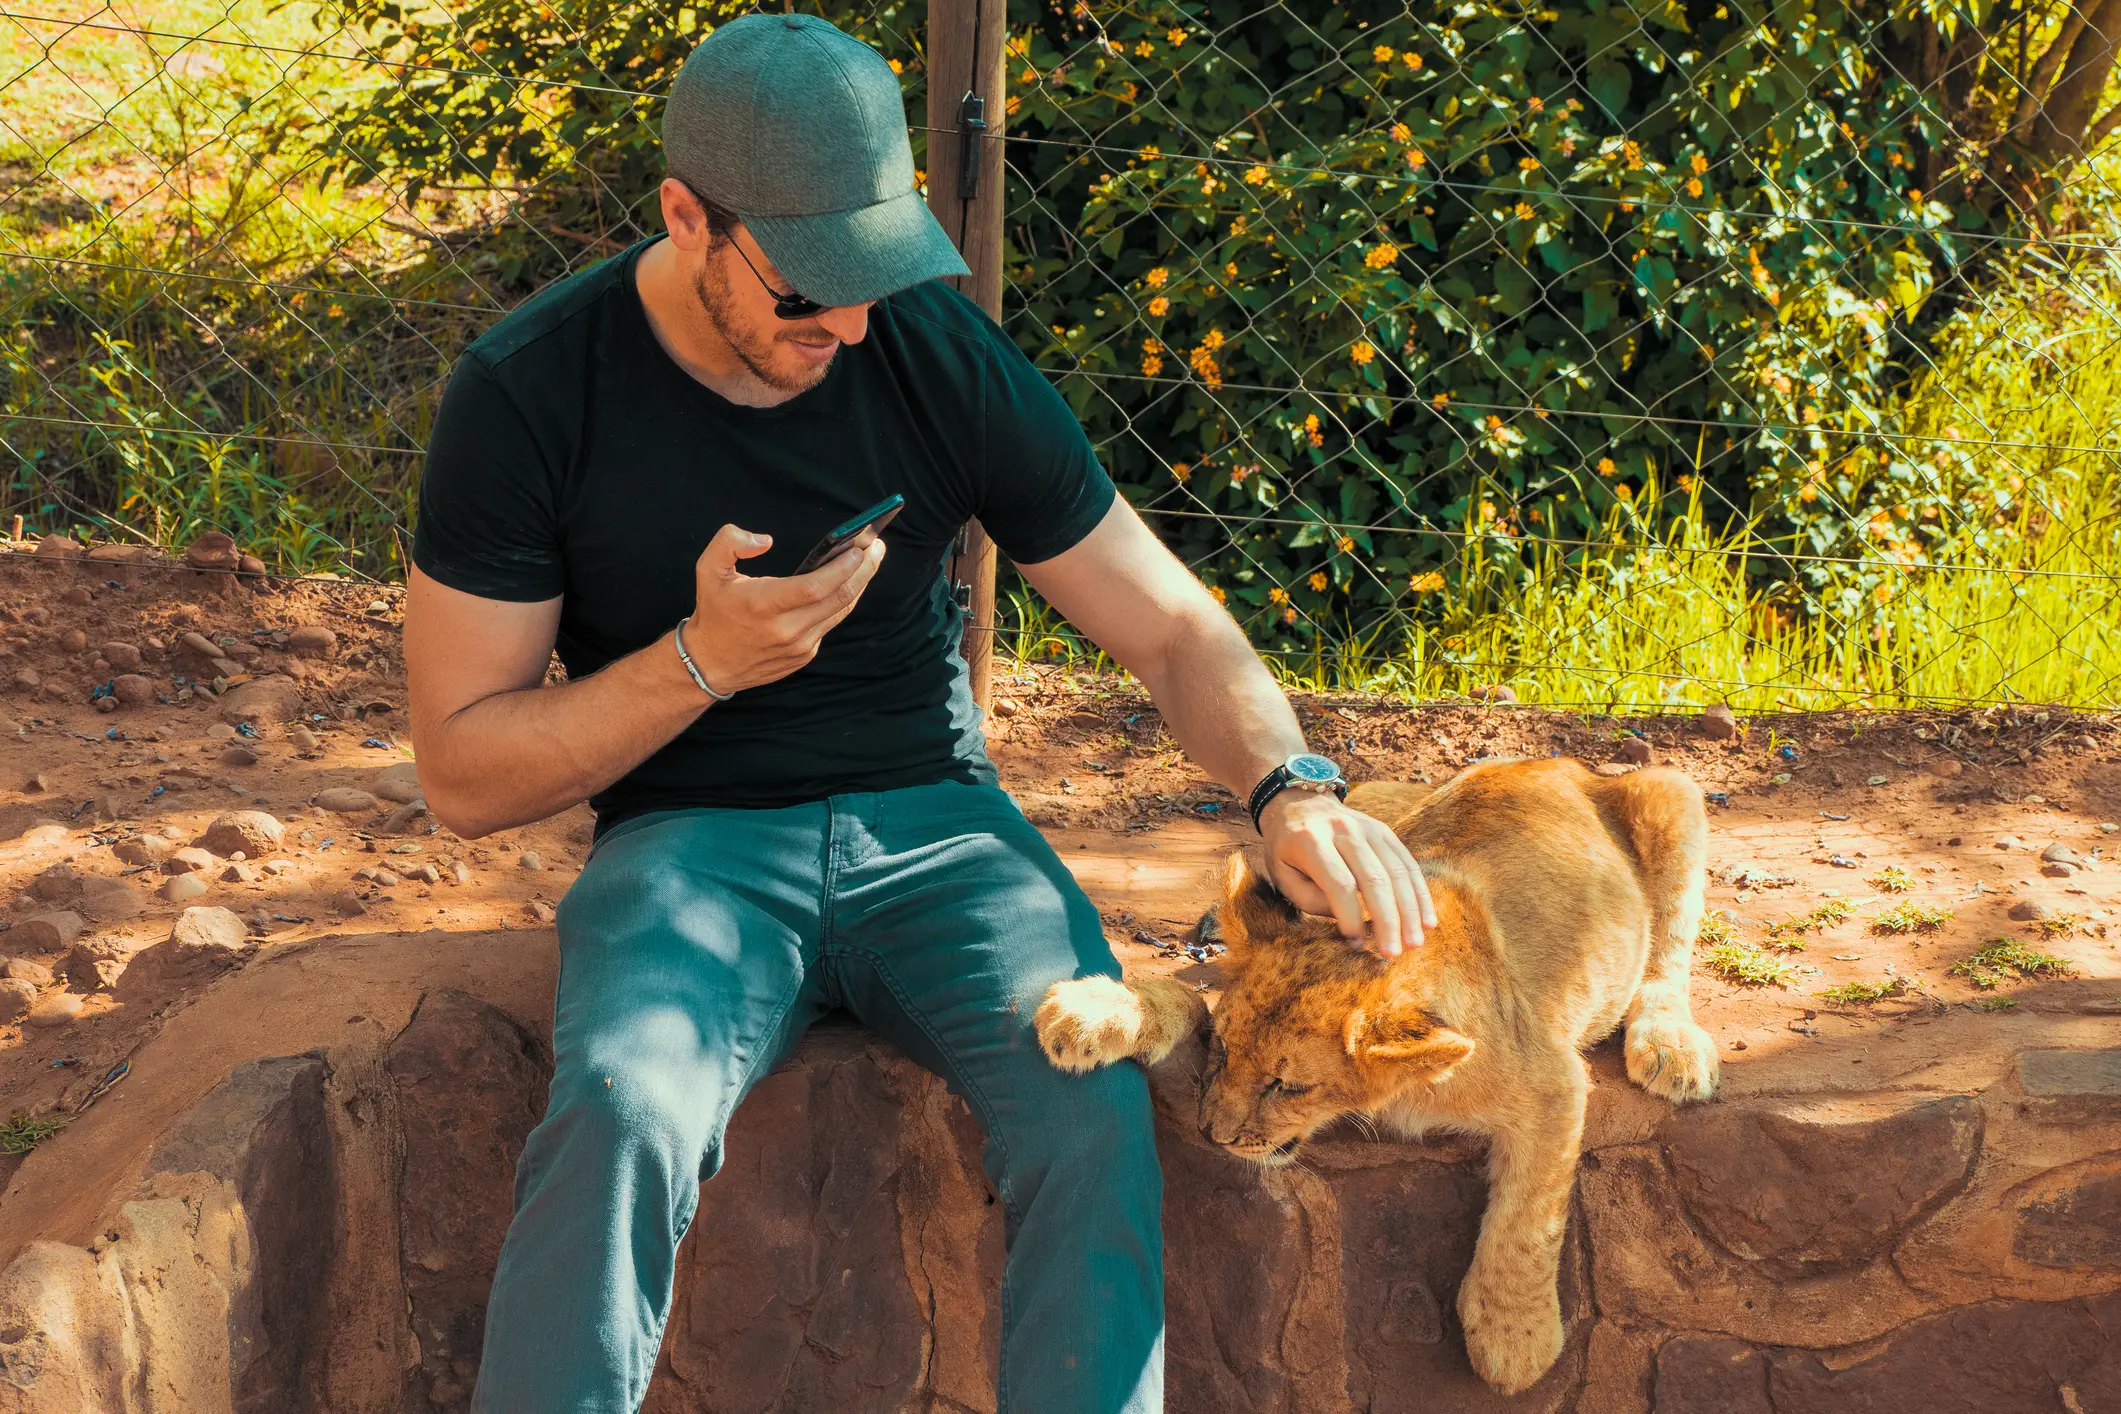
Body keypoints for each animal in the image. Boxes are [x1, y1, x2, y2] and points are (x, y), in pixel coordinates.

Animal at [1033, 756, 1720, 1395]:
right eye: (1221, 1050)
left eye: (1289, 1086)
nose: (1210, 1136)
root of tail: (1550, 763)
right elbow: (1179, 999)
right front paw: (1092, 1011)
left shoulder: (1553, 1079)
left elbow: (1531, 1215)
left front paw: (1512, 1335)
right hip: (1360, 810)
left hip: (1674, 795)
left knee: (1669, 953)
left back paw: (1671, 1046)